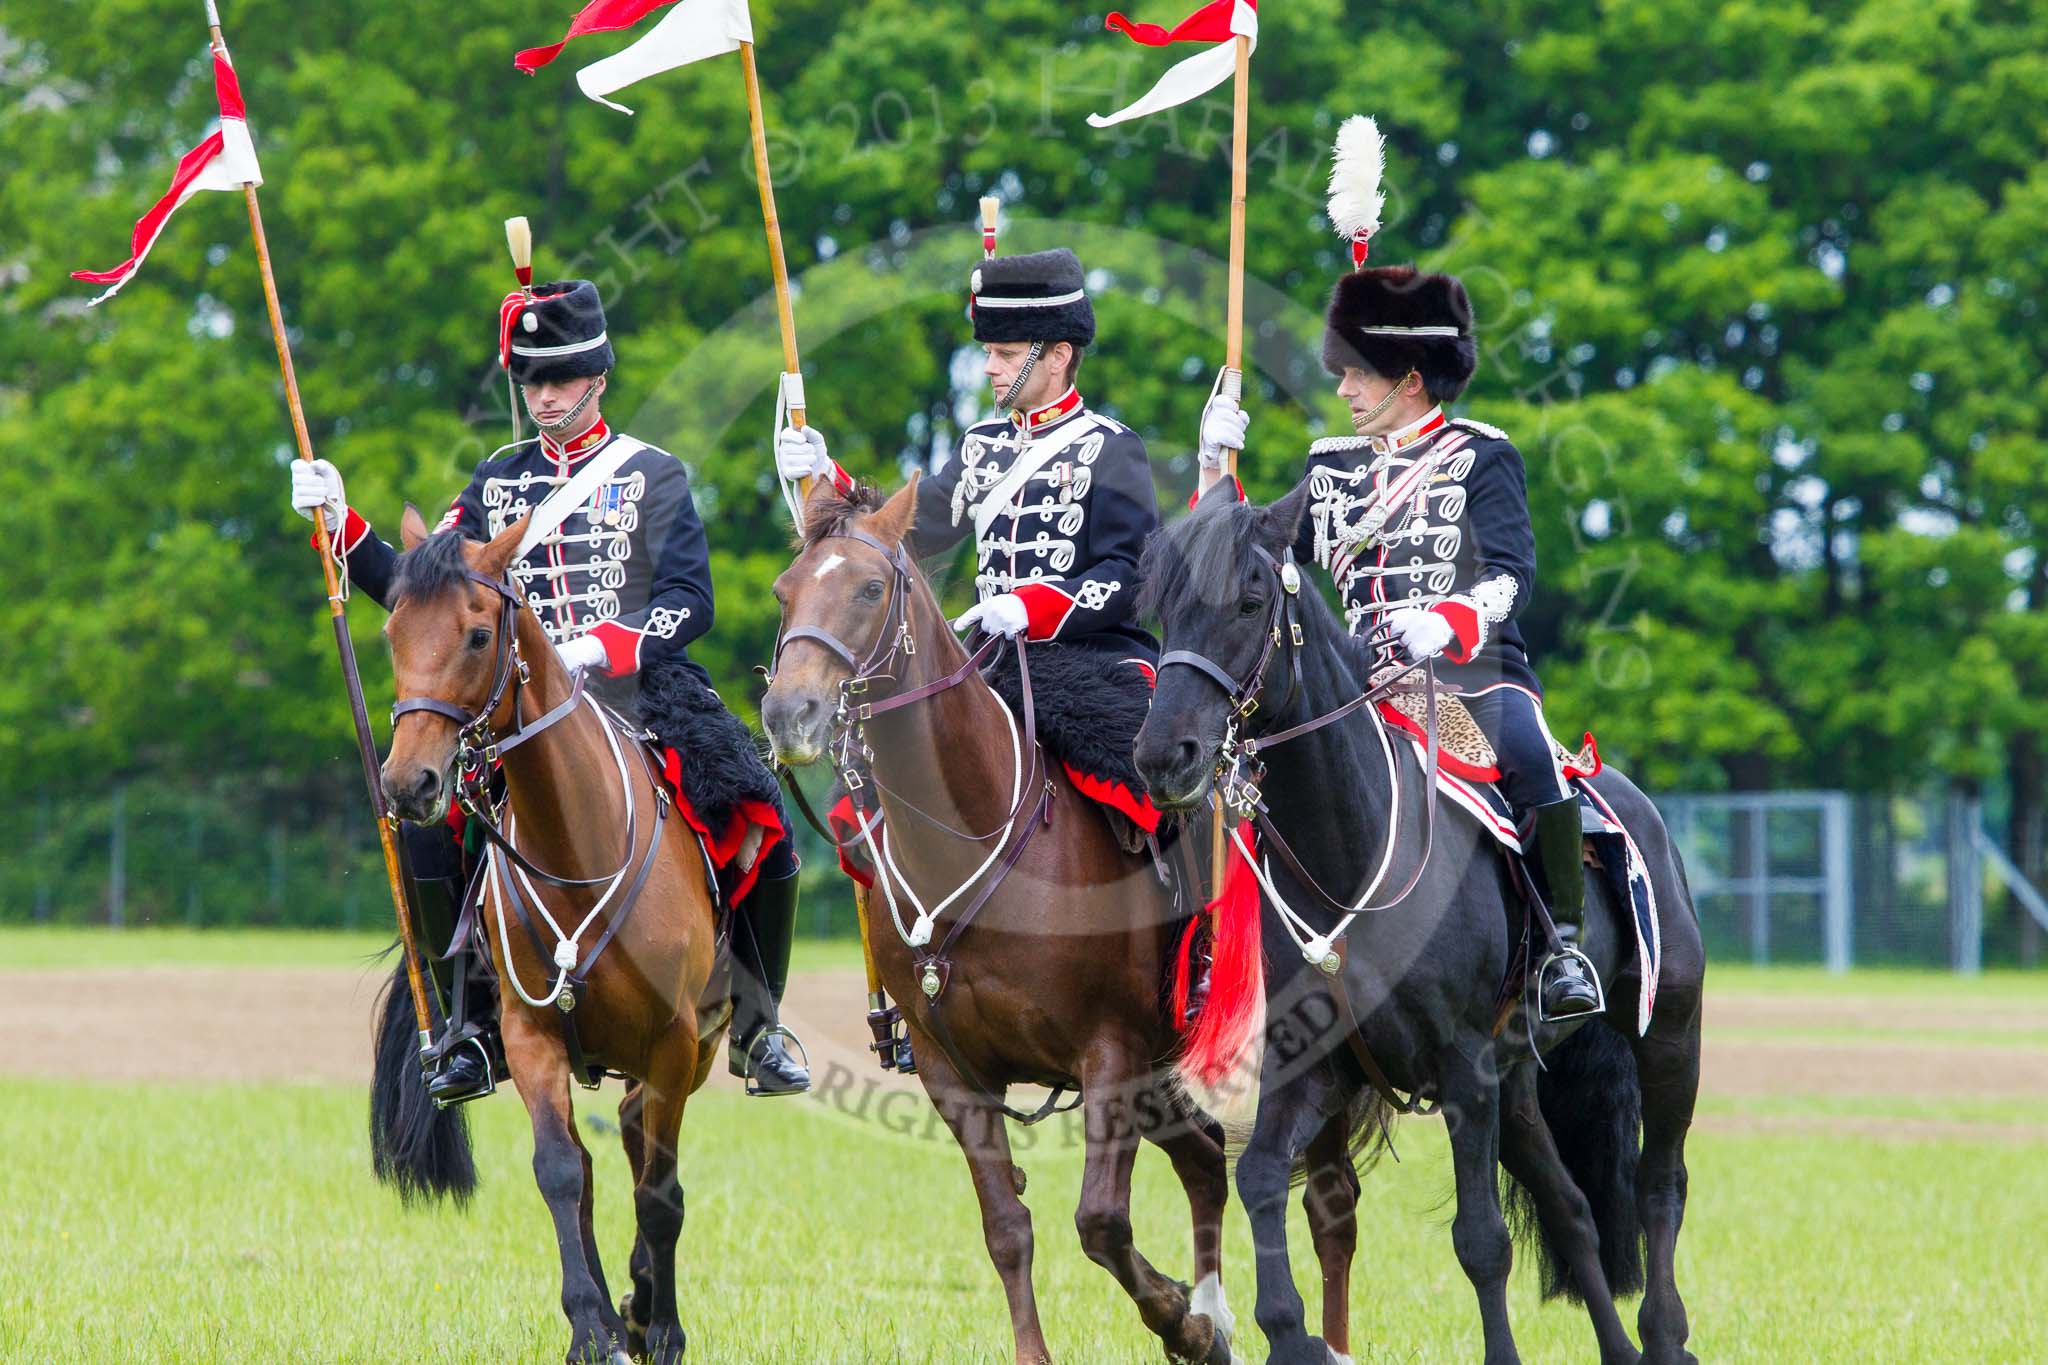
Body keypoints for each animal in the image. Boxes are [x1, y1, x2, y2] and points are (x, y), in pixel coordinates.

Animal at [372, 509, 733, 1365]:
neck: (578, 853)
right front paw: (592, 1328)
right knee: (604, 1159)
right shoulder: (530, 1033)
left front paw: (662, 1329)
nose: (408, 783)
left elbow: (660, 1190)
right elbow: (562, 1172)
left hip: (694, 1050)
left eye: (478, 634)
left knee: (640, 1145)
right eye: (392, 630)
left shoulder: (674, 1042)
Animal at [761, 478, 1245, 1365]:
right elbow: (1007, 1226)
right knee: (1203, 1158)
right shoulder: (956, 1075)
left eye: (871, 589)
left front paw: (1178, 1316)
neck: (977, 832)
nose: (791, 713)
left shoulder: (1110, 1054)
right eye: (786, 590)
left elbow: (1100, 1220)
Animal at [1130, 489, 1703, 1365]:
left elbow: (1482, 1240)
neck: (1353, 847)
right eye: (1164, 610)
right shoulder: (1316, 1068)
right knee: (1571, 1205)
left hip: (1668, 1036)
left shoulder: (1463, 1065)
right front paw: (1290, 1332)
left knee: (1658, 1186)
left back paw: (1665, 1335)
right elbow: (1257, 1176)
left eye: (1251, 600)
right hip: (1518, 1081)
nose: (1166, 757)